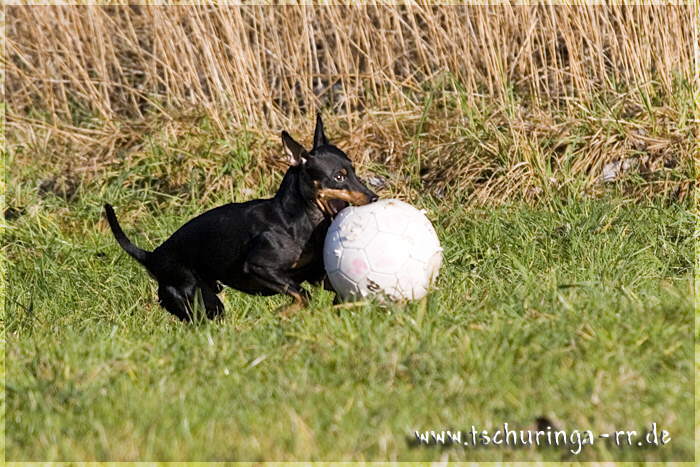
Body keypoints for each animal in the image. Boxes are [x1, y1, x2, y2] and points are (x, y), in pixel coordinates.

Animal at [105, 115, 377, 321]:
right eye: (338, 177)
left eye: (353, 171)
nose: (374, 197)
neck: (297, 221)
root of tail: (152, 257)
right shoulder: (260, 267)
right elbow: (303, 296)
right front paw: (282, 313)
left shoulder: (317, 275)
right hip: (197, 298)